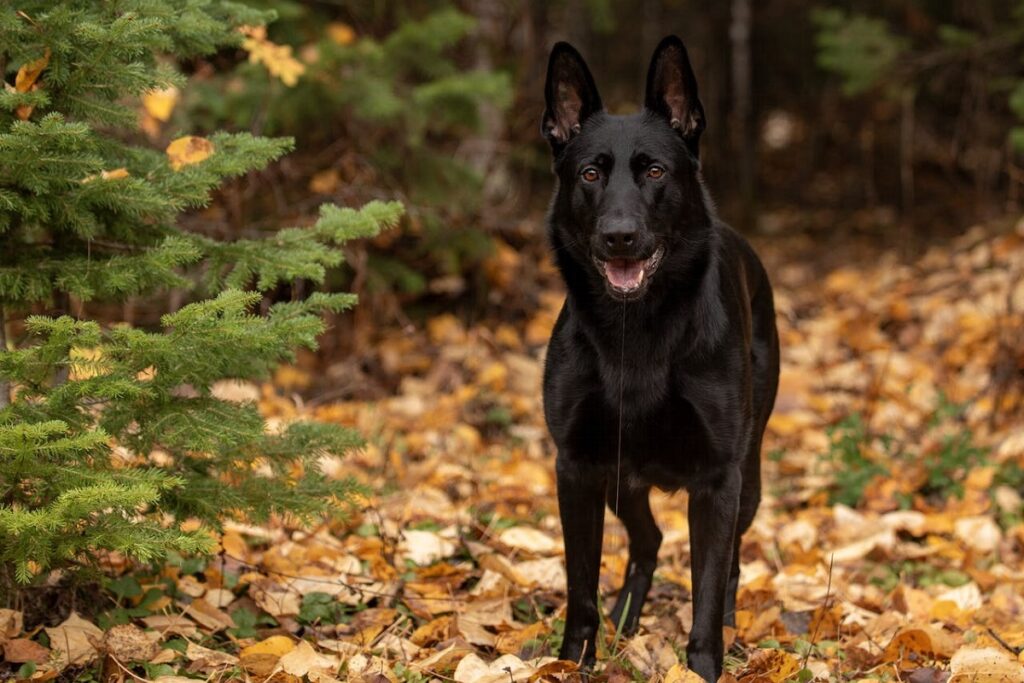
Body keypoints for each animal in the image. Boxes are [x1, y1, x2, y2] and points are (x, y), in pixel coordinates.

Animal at [540, 37, 778, 683]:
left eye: (655, 171)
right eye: (590, 173)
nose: (620, 236)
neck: (637, 336)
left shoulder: (718, 482)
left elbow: (708, 587)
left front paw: (704, 665)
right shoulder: (577, 468)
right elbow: (580, 588)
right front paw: (576, 660)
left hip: (749, 479)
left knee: (731, 566)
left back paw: (730, 629)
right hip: (622, 481)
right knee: (648, 542)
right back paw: (626, 619)